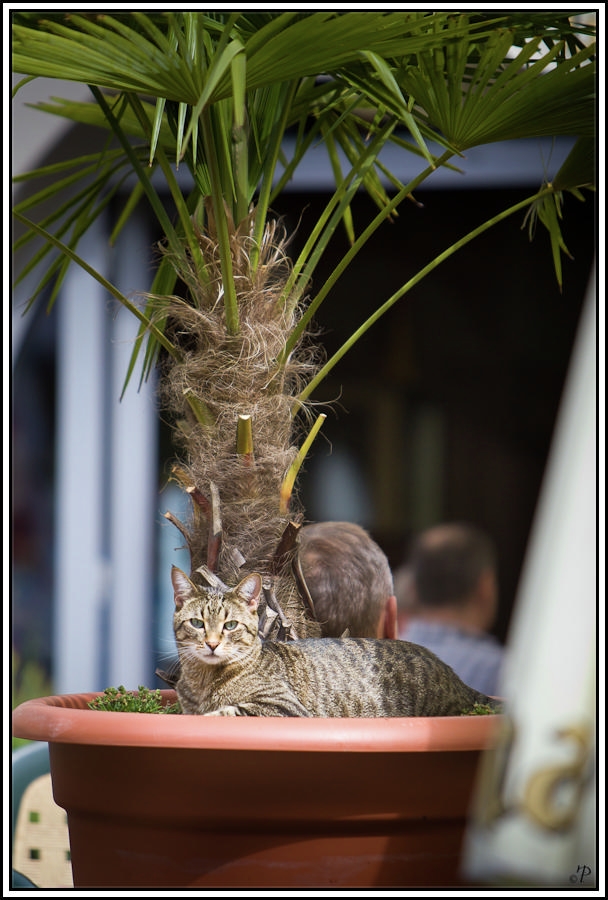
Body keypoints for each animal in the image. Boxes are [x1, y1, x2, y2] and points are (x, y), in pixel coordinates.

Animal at [170, 564, 498, 716]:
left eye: (231, 625)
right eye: (198, 623)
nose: (212, 643)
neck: (202, 682)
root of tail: (455, 677)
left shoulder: (284, 707)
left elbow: (229, 710)